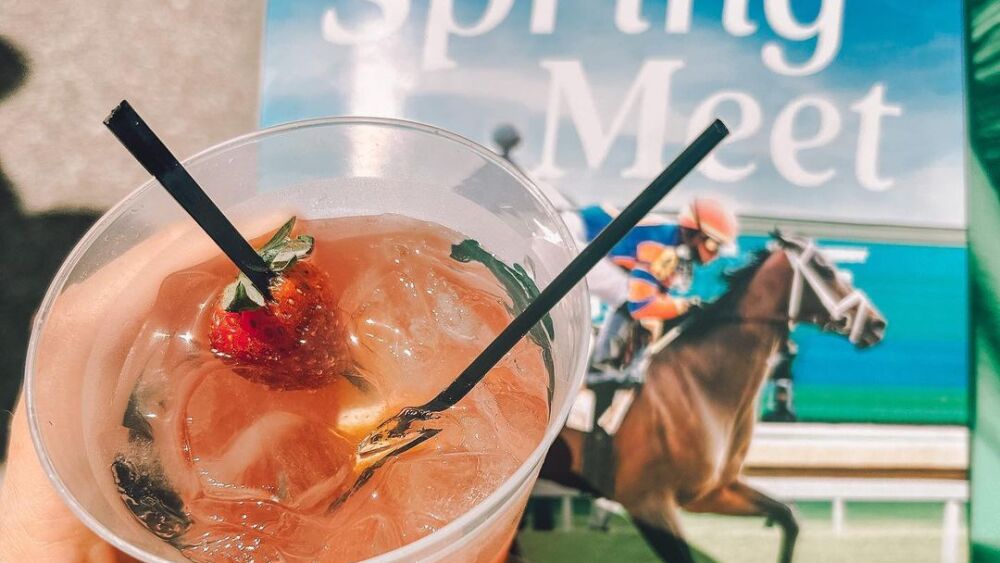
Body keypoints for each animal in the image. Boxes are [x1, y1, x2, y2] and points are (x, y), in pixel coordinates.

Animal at [544, 232, 888, 563]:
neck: (702, 384)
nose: (877, 323)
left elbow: (789, 516)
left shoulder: (712, 492)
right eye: (825, 269)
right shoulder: (647, 501)